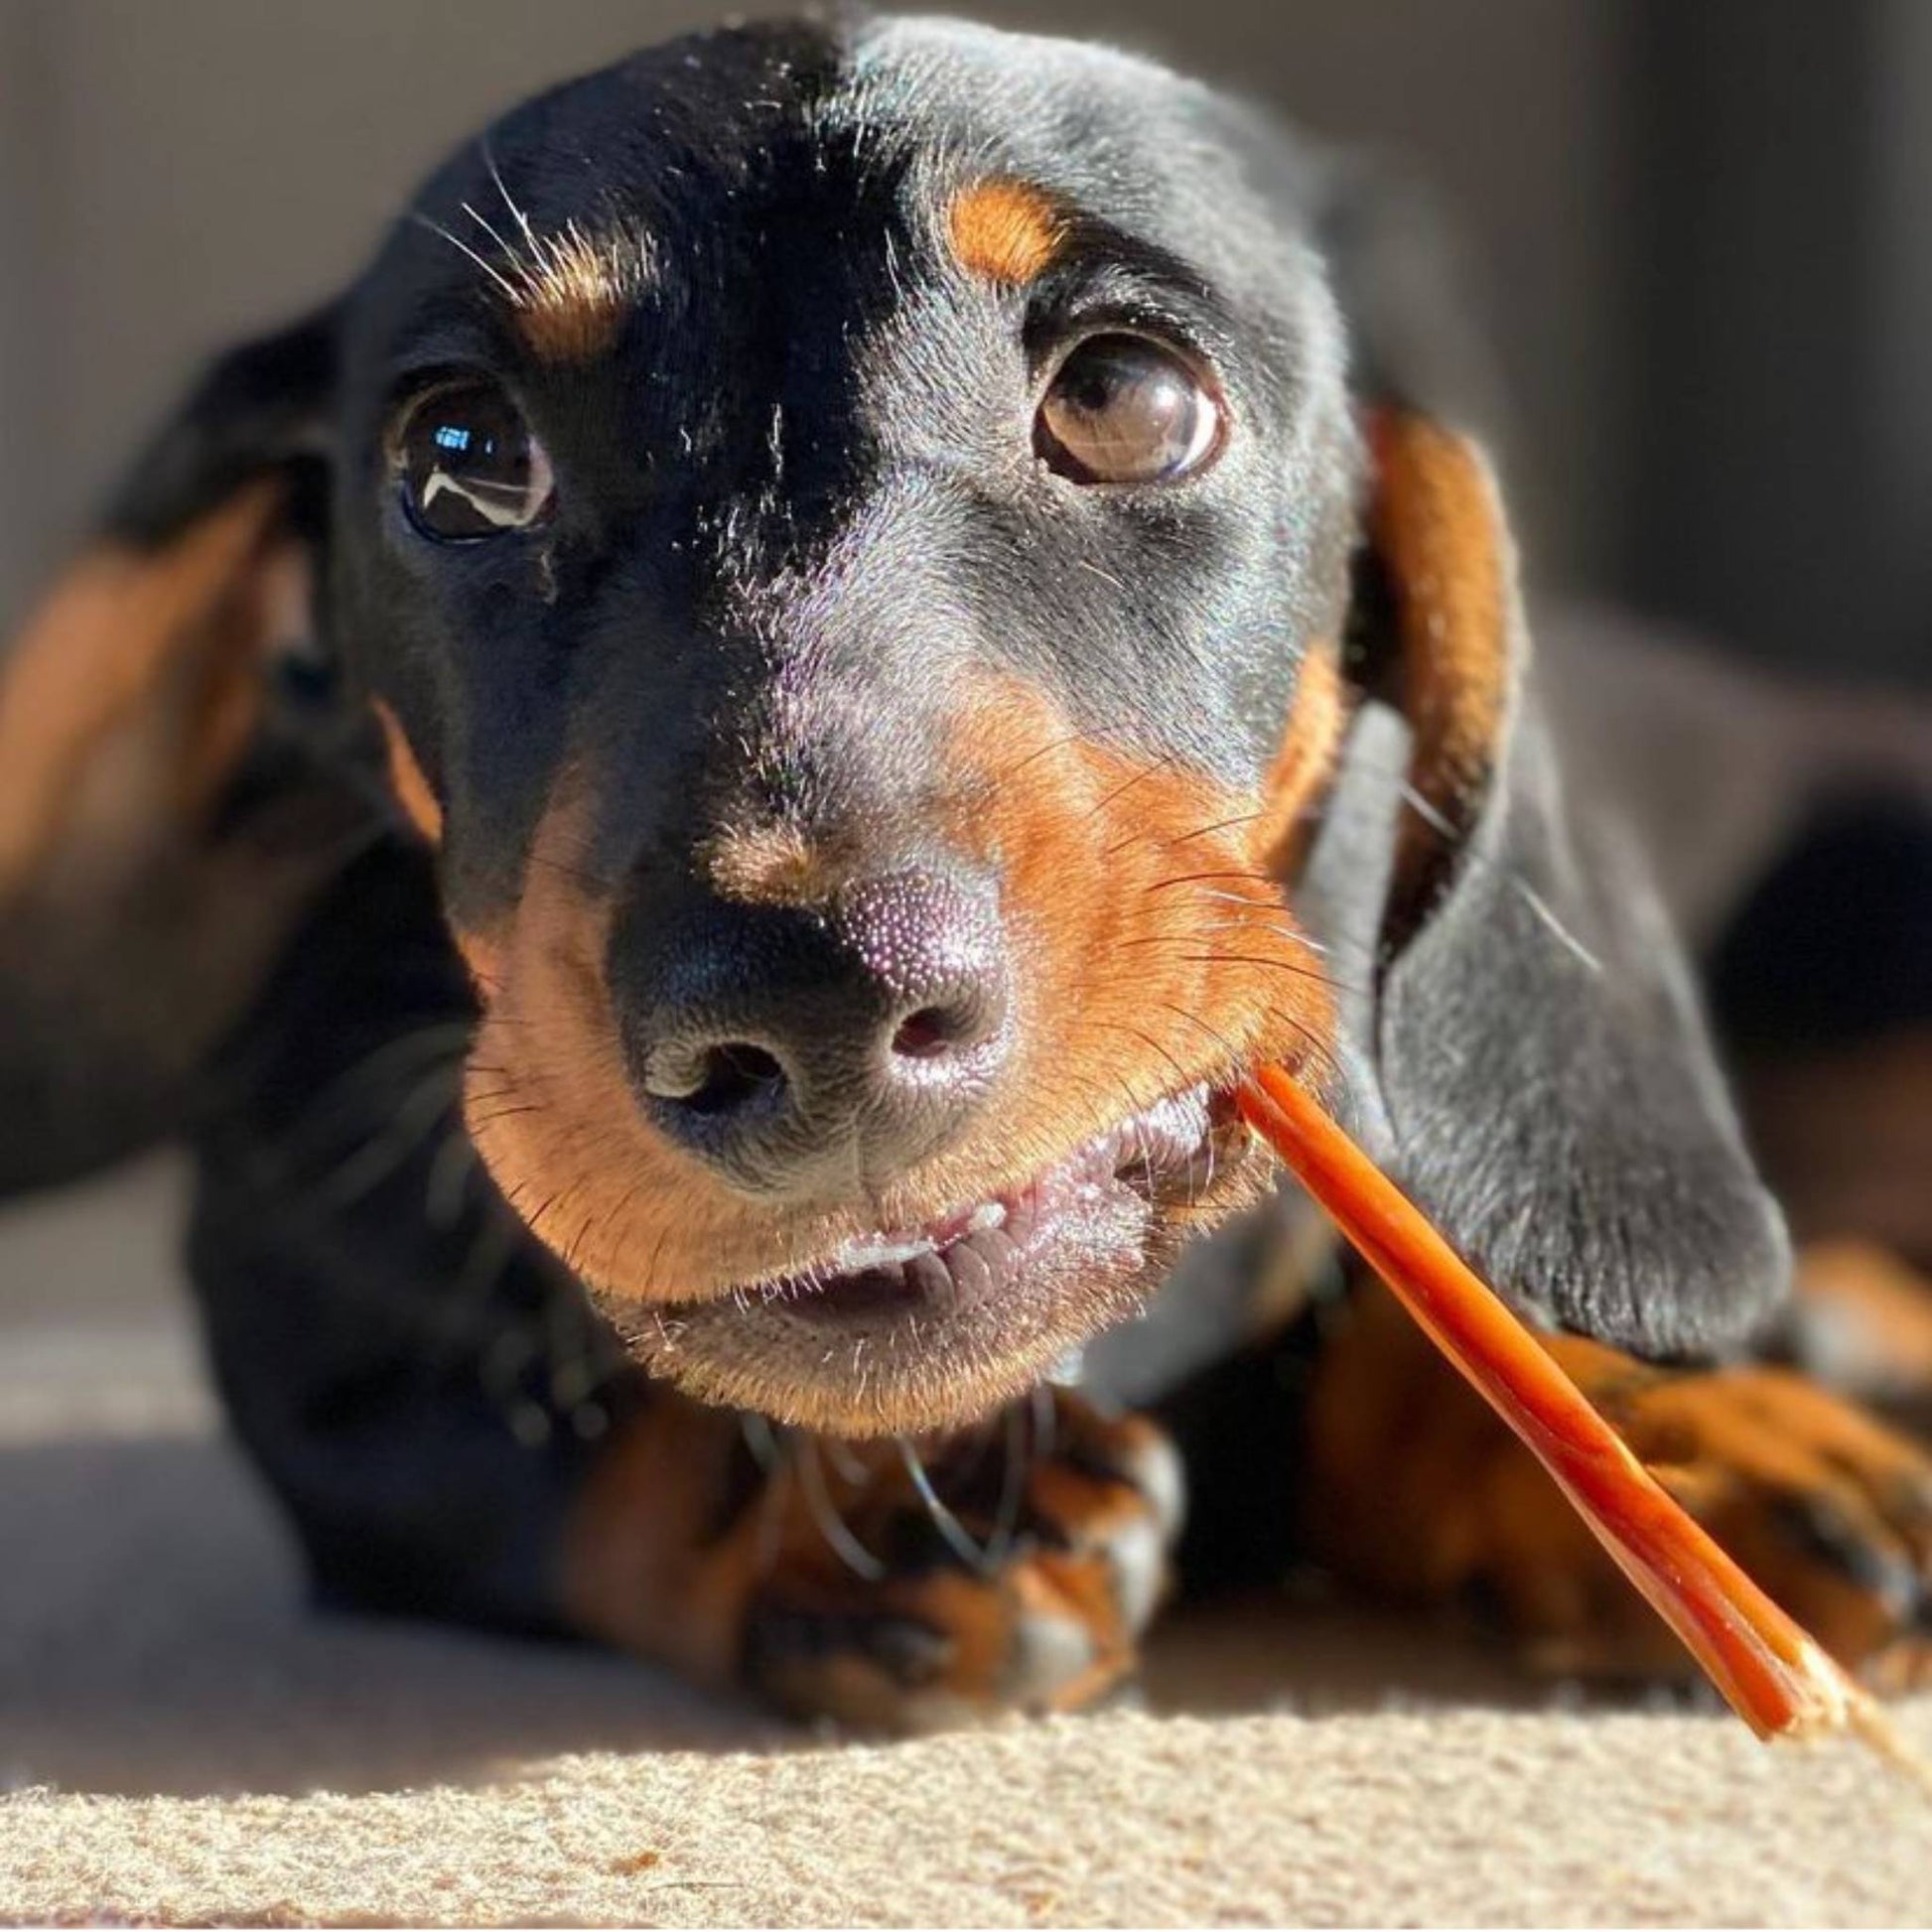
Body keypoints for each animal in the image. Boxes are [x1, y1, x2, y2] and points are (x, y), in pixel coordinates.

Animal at [3, 15, 1932, 1730]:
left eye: (1129, 394)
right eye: (460, 456)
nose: (814, 1012)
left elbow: (1407, 1331)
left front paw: (1688, 1437)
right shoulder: (312, 1345)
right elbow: (547, 1445)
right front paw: (831, 1516)